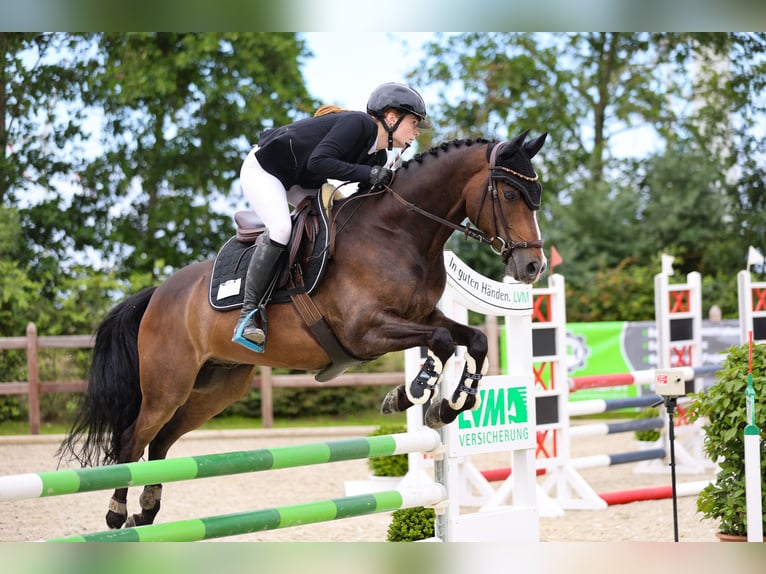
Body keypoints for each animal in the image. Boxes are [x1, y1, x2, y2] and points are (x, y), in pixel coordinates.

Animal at [57, 130, 548, 530]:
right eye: (509, 193)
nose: (533, 267)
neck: (400, 232)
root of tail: (158, 293)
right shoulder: (365, 333)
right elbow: (443, 343)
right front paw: (413, 392)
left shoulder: (422, 318)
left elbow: (474, 340)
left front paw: (449, 404)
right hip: (168, 384)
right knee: (132, 439)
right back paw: (118, 513)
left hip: (215, 389)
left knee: (159, 443)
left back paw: (148, 510)